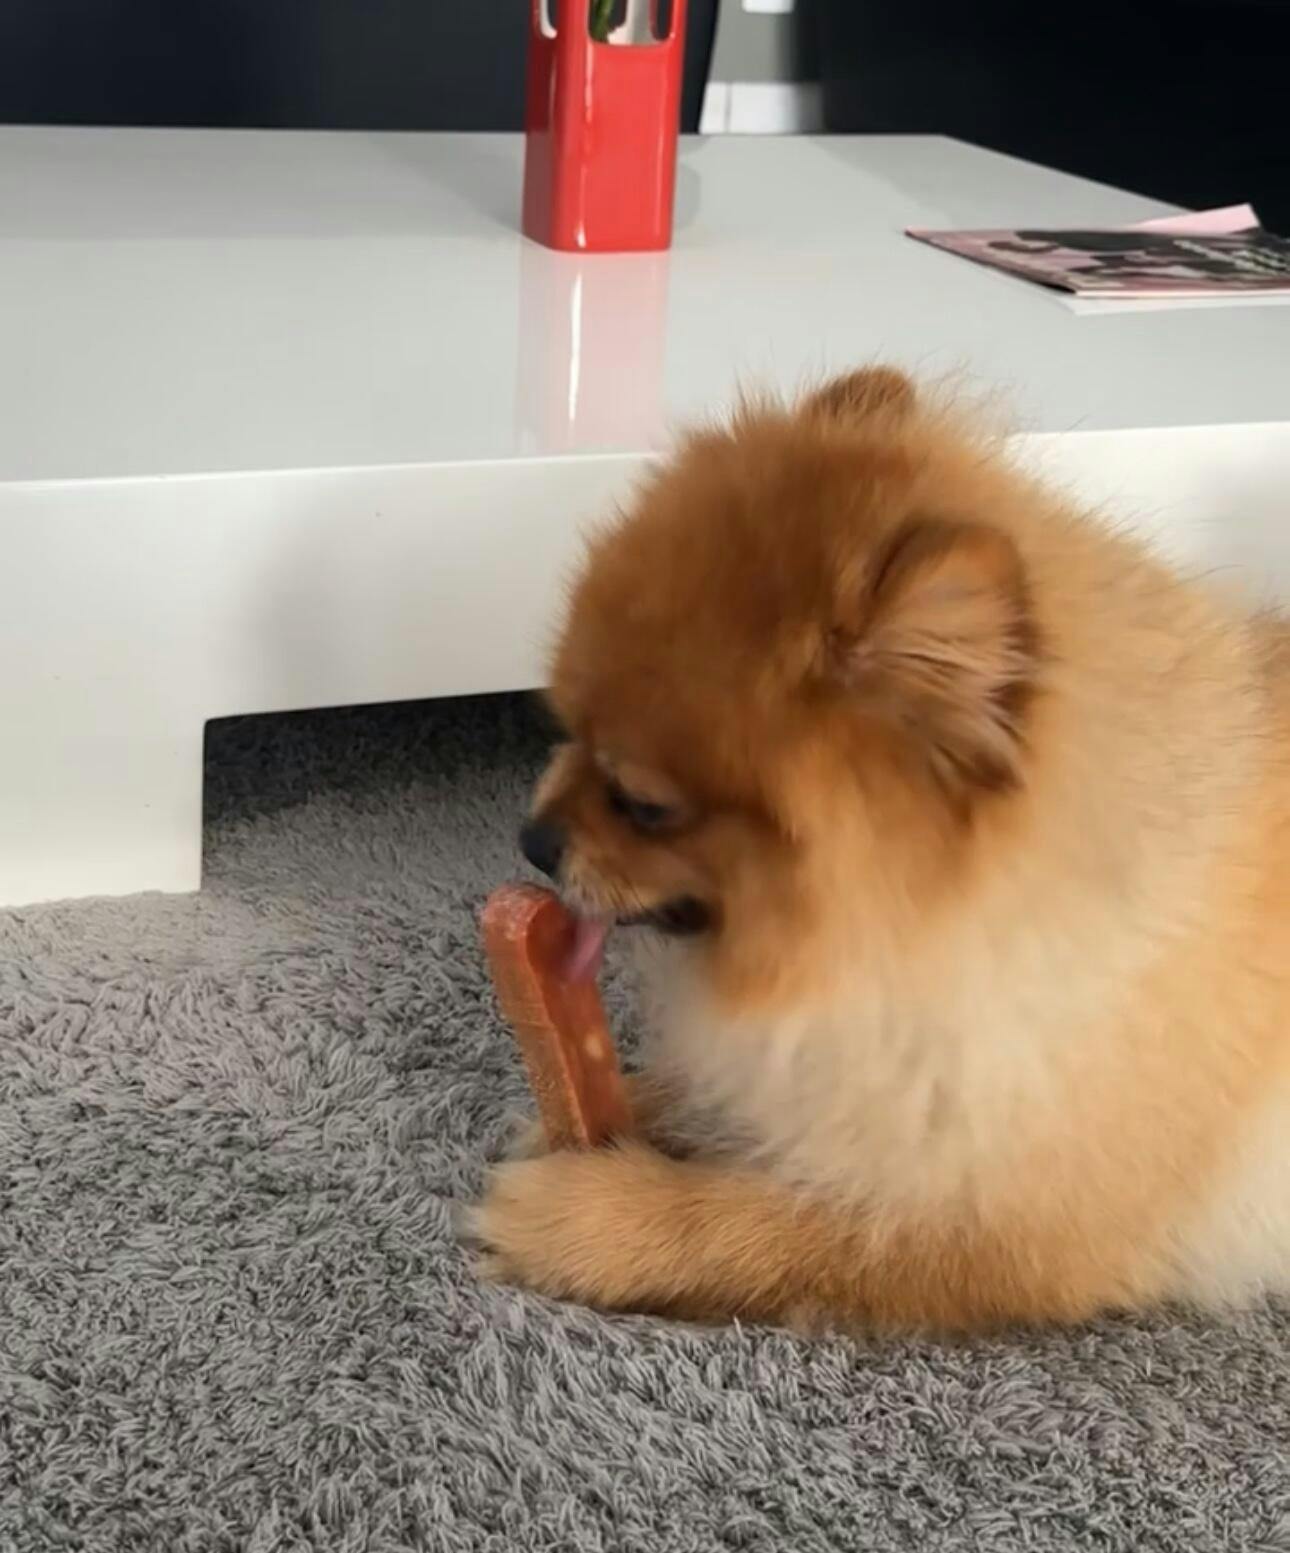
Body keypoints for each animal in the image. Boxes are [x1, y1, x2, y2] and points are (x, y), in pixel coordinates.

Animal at [470, 367, 1290, 1333]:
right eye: (564, 728)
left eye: (644, 804)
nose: (533, 839)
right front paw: (621, 1107)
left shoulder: (993, 1220)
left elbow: (747, 1228)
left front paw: (588, 1216)